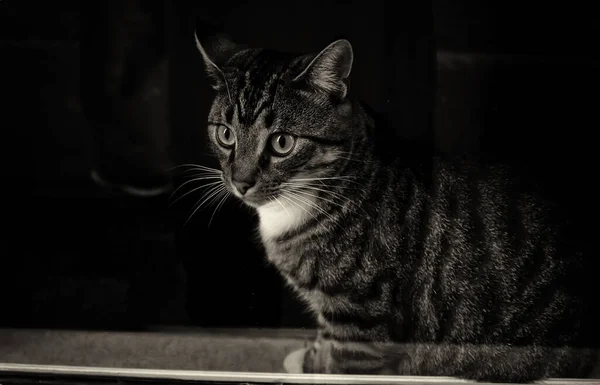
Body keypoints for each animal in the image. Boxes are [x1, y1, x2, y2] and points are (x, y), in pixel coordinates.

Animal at [192, 31, 600, 382]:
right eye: (225, 134)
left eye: (282, 143)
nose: (241, 182)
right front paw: (309, 358)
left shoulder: (361, 327)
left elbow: (340, 367)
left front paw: (311, 364)